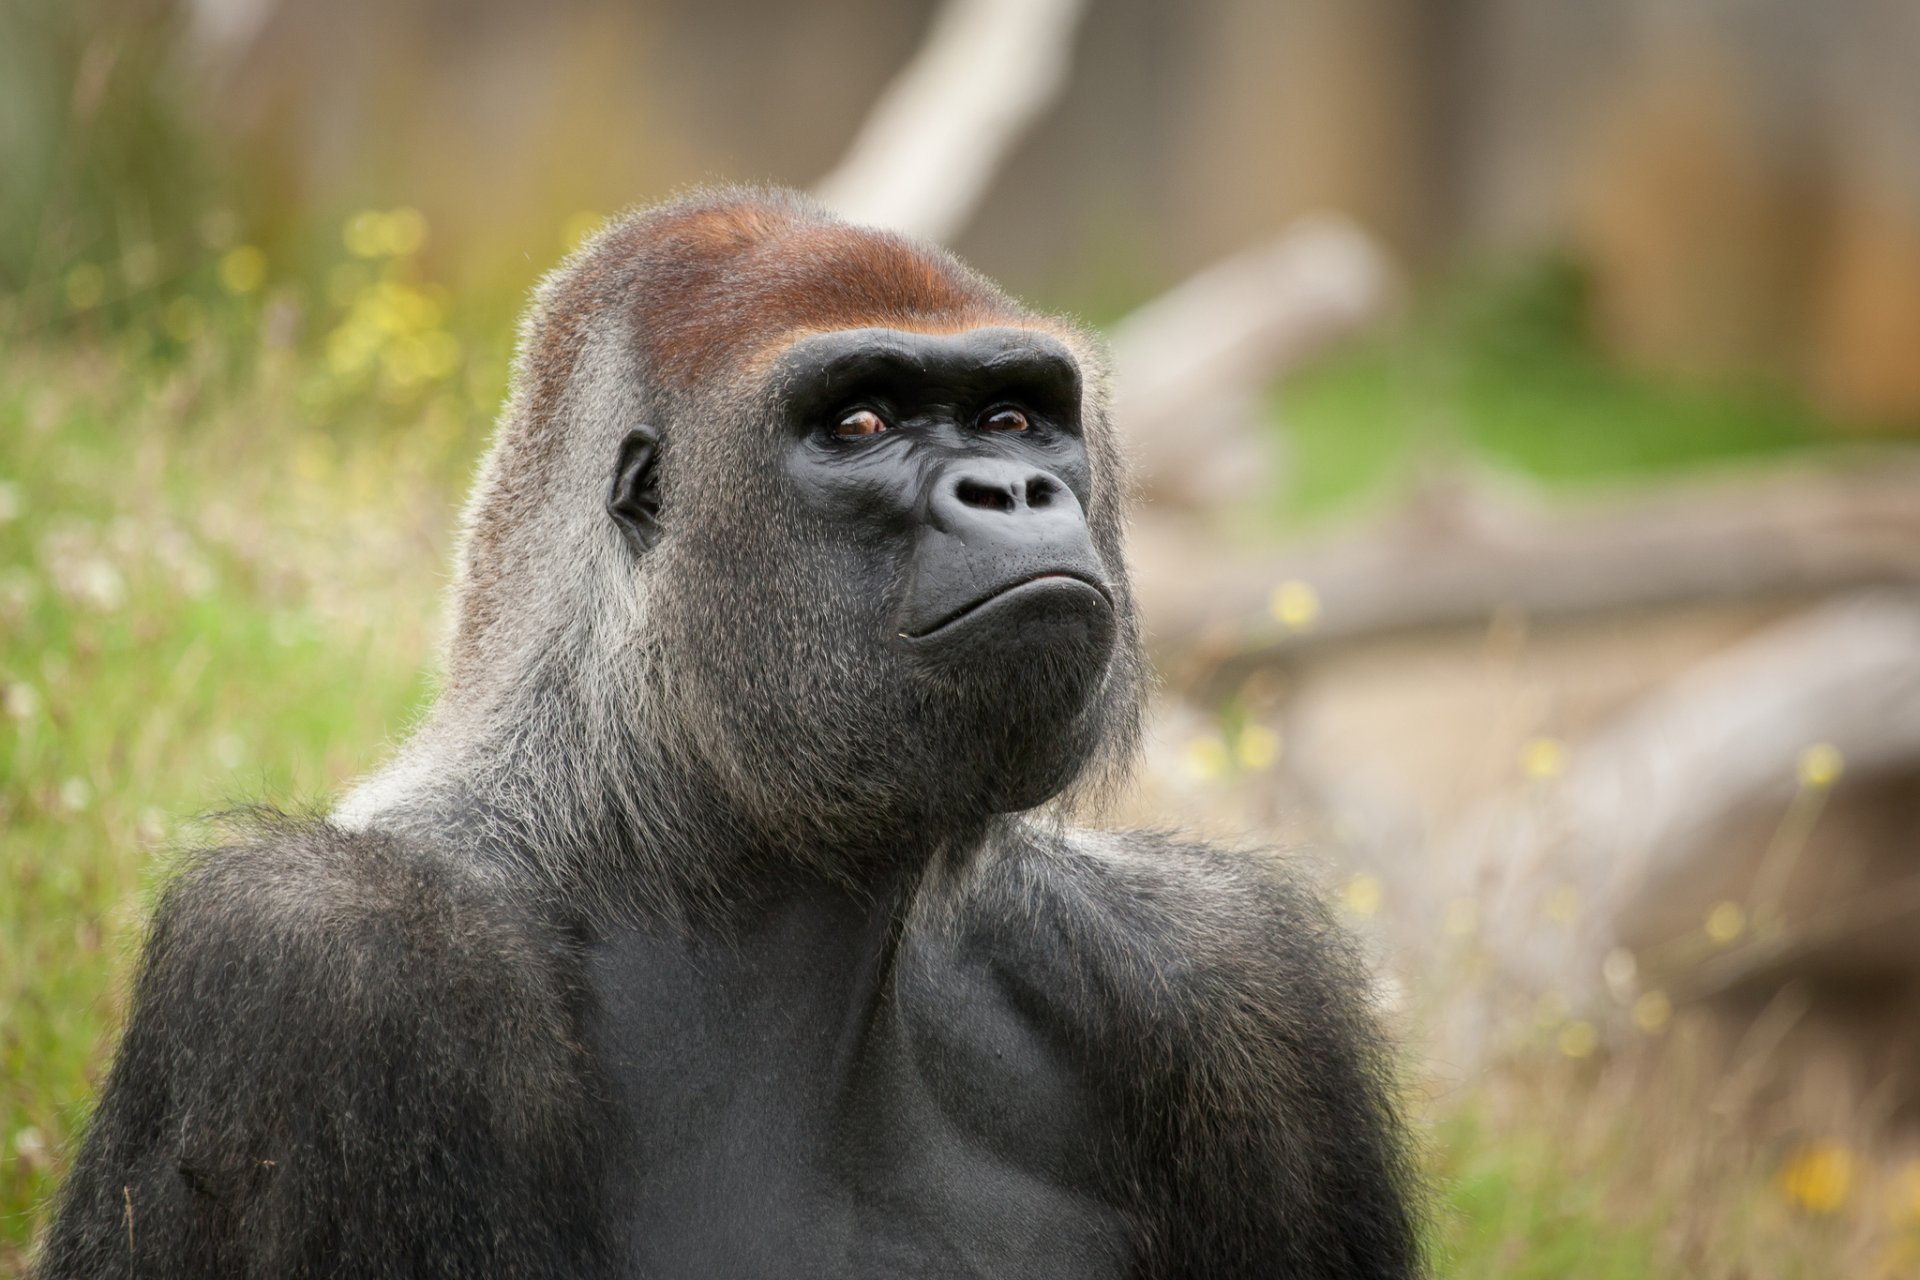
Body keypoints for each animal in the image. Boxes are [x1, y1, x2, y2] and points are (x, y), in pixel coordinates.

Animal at [39, 188, 1421, 1278]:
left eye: (1015, 418)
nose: (1016, 487)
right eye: (860, 422)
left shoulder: (1224, 970)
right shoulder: (329, 962)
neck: (665, 837)